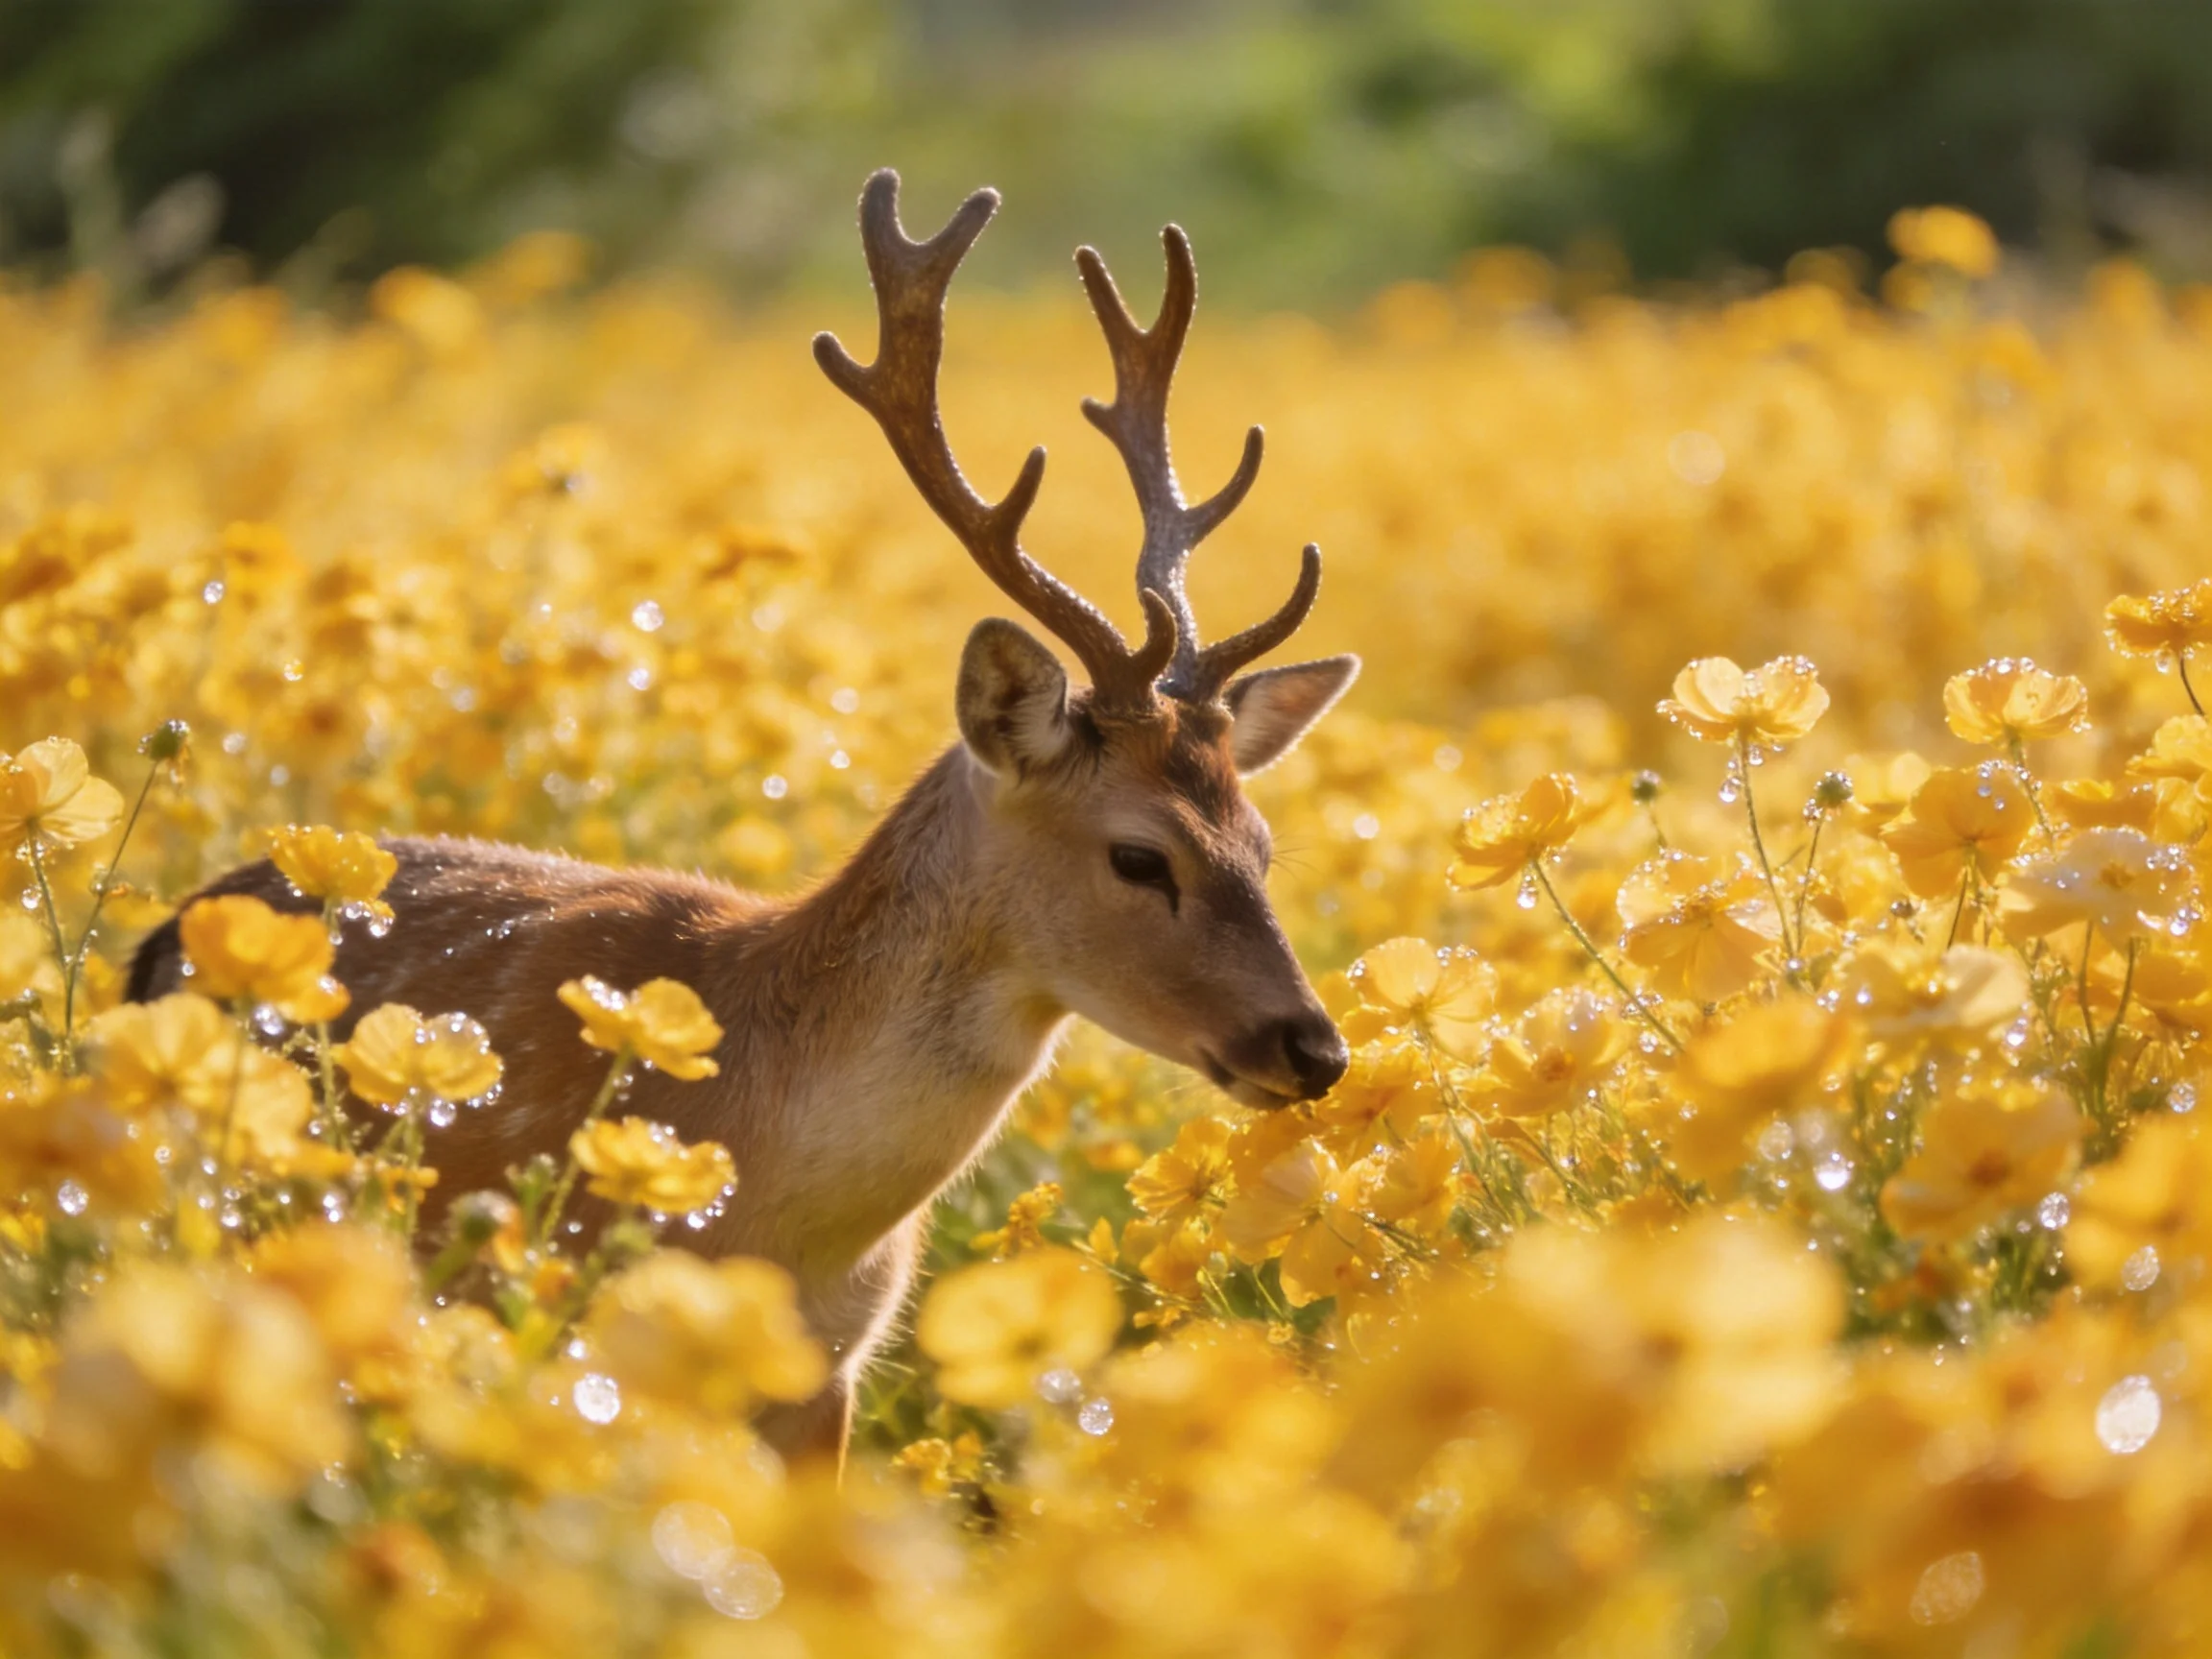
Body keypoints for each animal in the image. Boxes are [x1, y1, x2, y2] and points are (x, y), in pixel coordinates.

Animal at [127, 170, 1359, 1463]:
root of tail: (159, 939)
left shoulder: (833, 1375)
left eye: (1262, 845)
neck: (775, 1206)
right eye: (1138, 854)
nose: (1315, 1050)